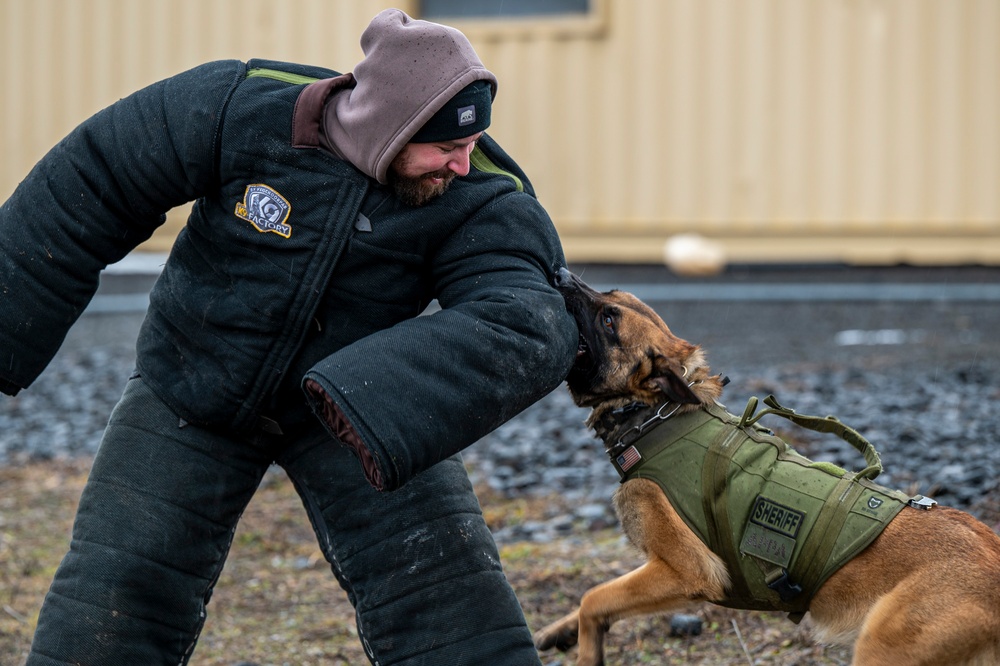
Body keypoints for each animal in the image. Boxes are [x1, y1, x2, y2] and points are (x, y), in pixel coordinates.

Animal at [536, 268, 1000, 664]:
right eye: (608, 296)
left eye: (608, 320)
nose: (558, 273)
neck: (656, 416)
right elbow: (597, 597)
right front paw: (558, 631)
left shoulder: (686, 571)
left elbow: (593, 597)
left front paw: (586, 651)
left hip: (881, 647)